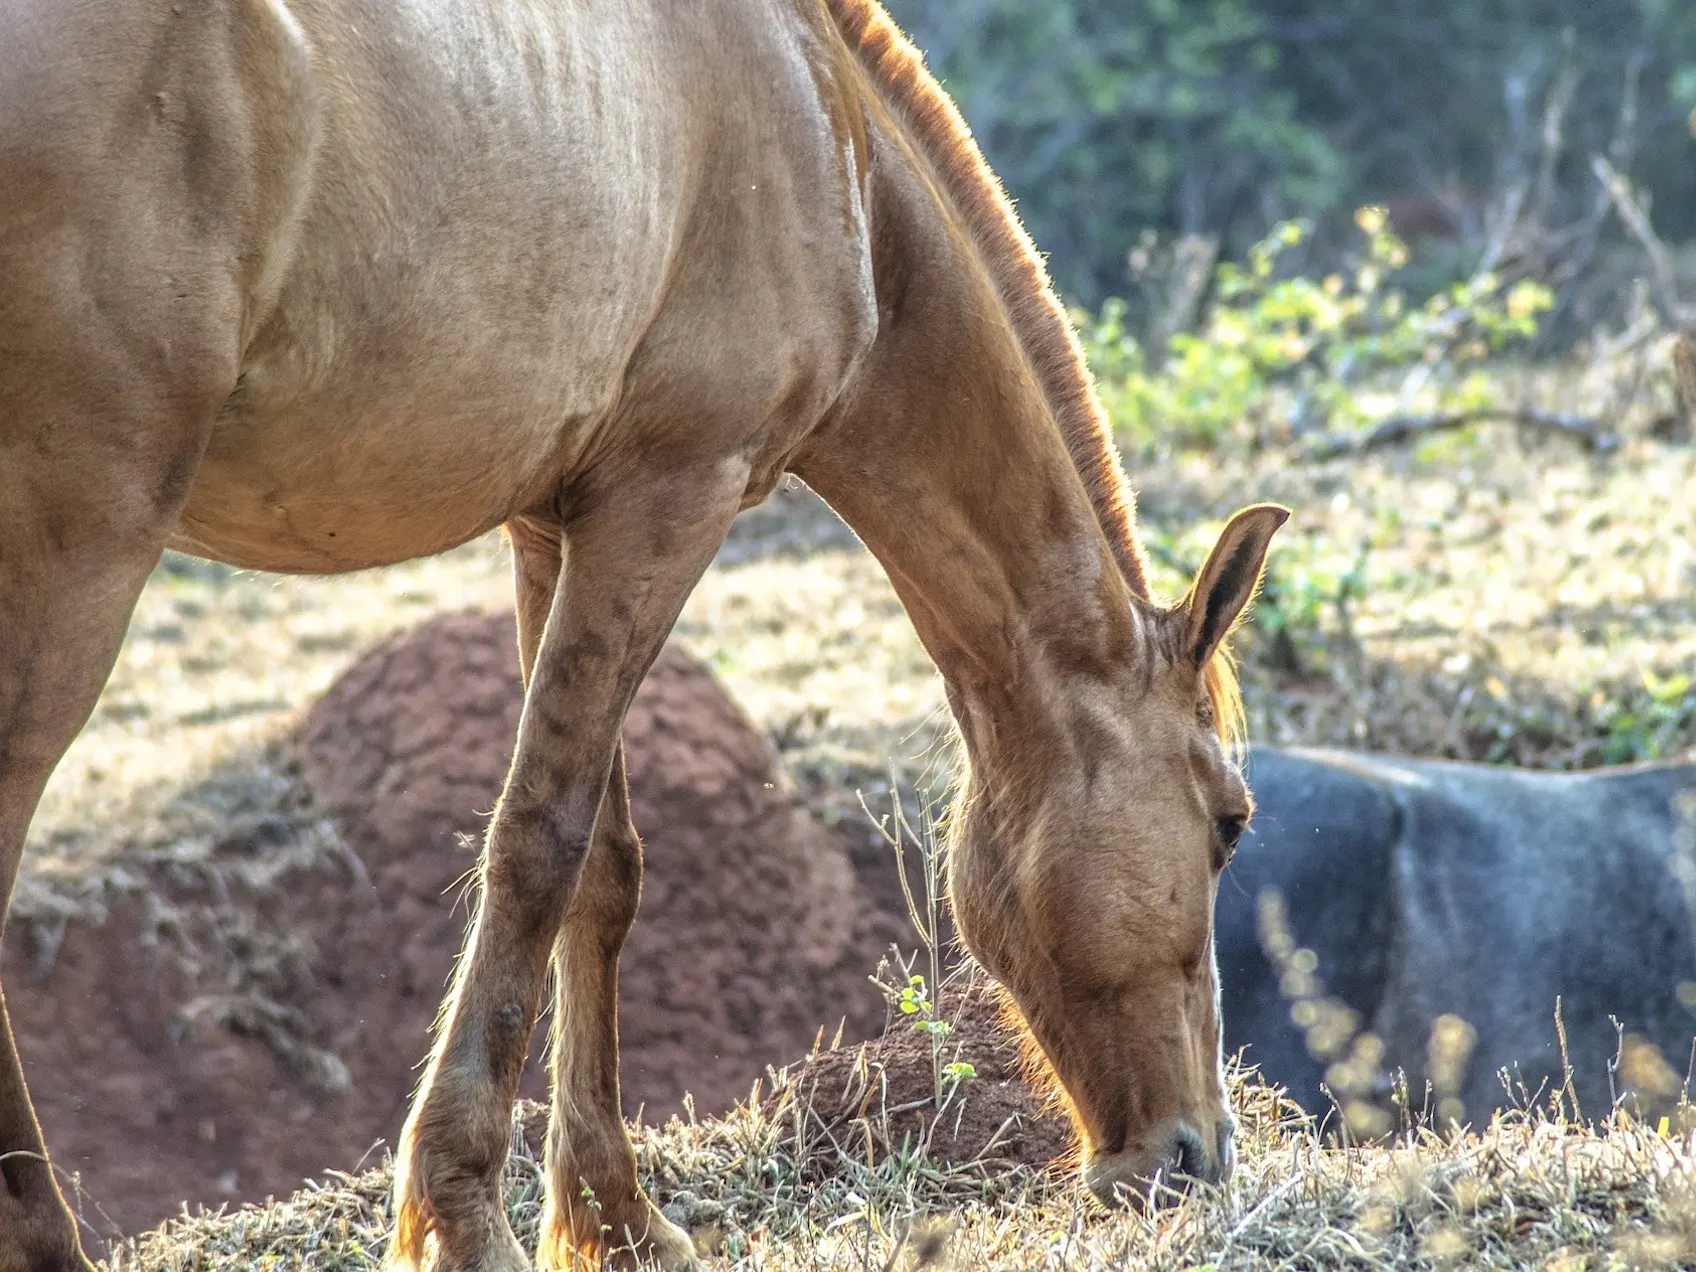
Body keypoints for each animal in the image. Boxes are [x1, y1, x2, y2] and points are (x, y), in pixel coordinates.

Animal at [0, 2, 1275, 1272]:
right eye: (1228, 823)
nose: (1195, 1154)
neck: (833, 140)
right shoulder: (667, 499)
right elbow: (540, 844)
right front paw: (468, 1218)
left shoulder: (553, 520)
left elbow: (603, 869)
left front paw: (613, 1217)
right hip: (86, 536)